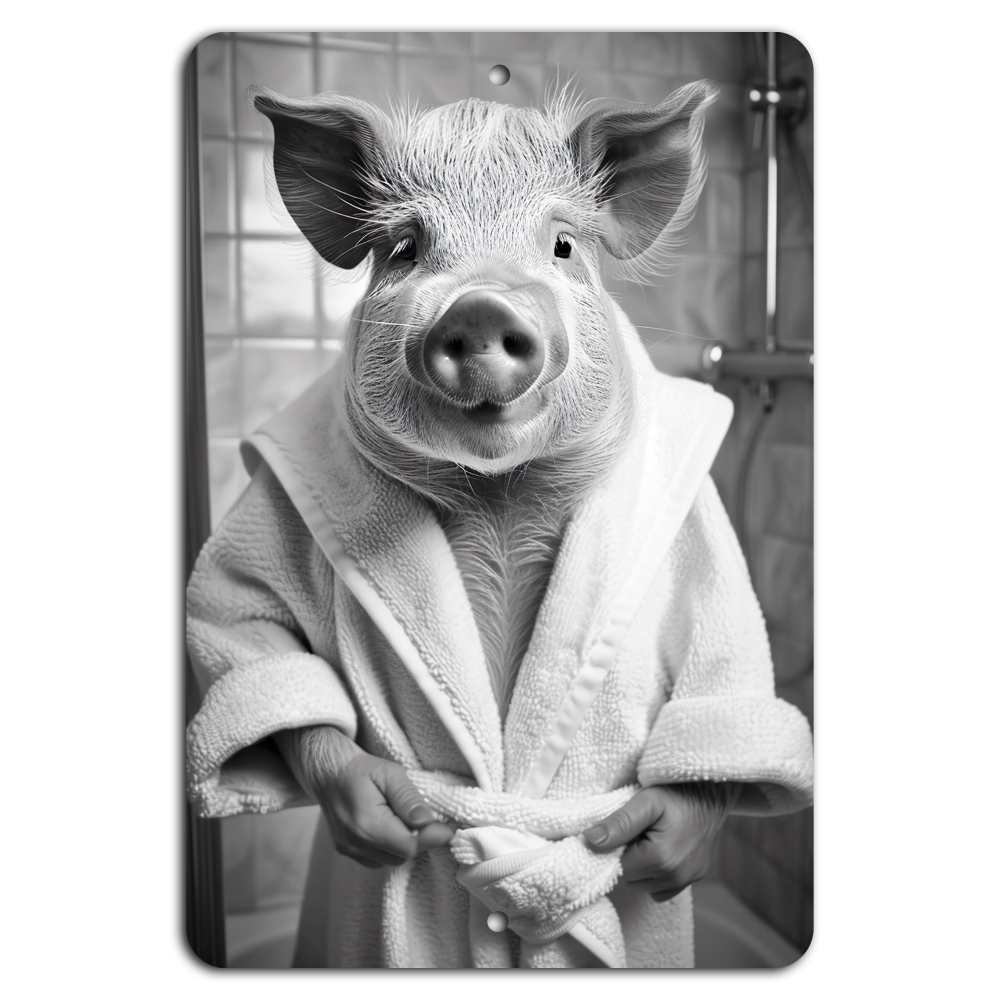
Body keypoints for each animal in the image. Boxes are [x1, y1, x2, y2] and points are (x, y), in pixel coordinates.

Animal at [186, 81, 815, 968]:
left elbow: (722, 654)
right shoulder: (274, 502)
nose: (482, 305)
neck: (499, 498)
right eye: (406, 250)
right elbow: (241, 617)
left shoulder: (699, 528)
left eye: (562, 246)